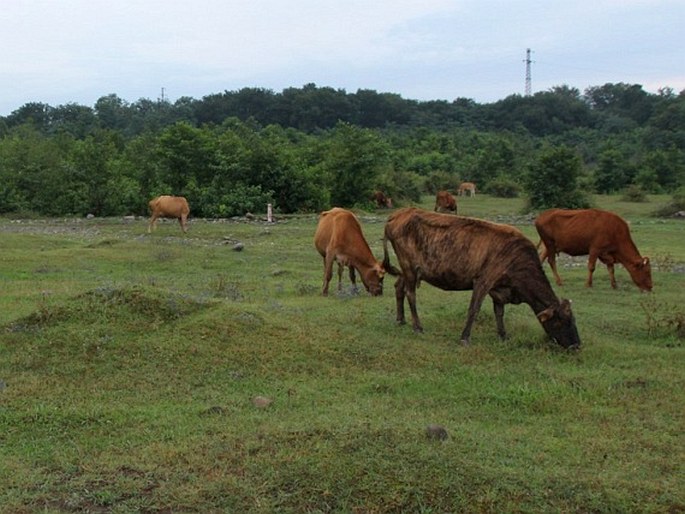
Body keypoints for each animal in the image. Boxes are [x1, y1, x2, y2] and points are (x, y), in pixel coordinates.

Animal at [382, 206, 580, 346]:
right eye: (561, 321)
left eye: (573, 319)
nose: (576, 345)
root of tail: (401, 213)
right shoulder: (483, 281)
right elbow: (474, 310)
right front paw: (464, 338)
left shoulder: (499, 289)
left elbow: (499, 312)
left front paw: (503, 335)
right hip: (409, 267)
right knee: (410, 294)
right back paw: (417, 326)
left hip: (408, 270)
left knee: (399, 288)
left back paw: (401, 320)